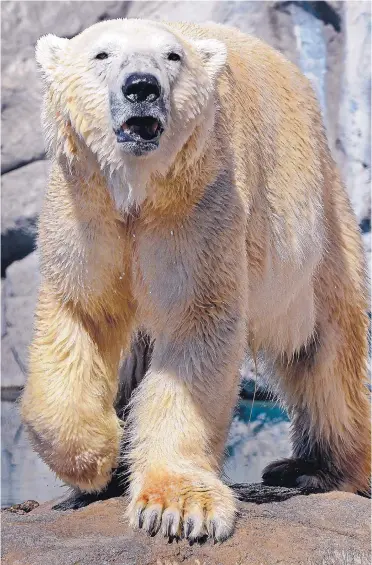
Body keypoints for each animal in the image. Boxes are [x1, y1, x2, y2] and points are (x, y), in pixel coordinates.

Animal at [21, 16, 370, 536]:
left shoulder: (197, 208)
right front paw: (95, 456)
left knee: (324, 347)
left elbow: (195, 325)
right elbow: (81, 315)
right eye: (102, 54)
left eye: (173, 57)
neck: (137, 189)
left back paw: (315, 468)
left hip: (317, 230)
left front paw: (176, 508)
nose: (141, 86)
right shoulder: (86, 210)